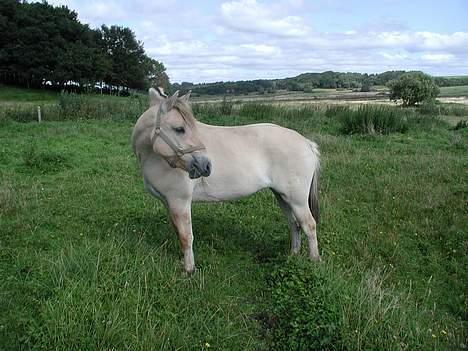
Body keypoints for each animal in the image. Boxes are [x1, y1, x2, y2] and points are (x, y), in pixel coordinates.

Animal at [132, 88, 322, 276]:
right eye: (179, 129)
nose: (206, 165)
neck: (154, 156)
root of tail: (306, 143)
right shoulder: (169, 203)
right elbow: (179, 234)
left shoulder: (180, 202)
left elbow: (186, 237)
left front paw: (189, 270)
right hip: (282, 197)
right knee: (294, 224)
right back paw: (293, 255)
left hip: (297, 200)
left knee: (309, 225)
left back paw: (313, 261)